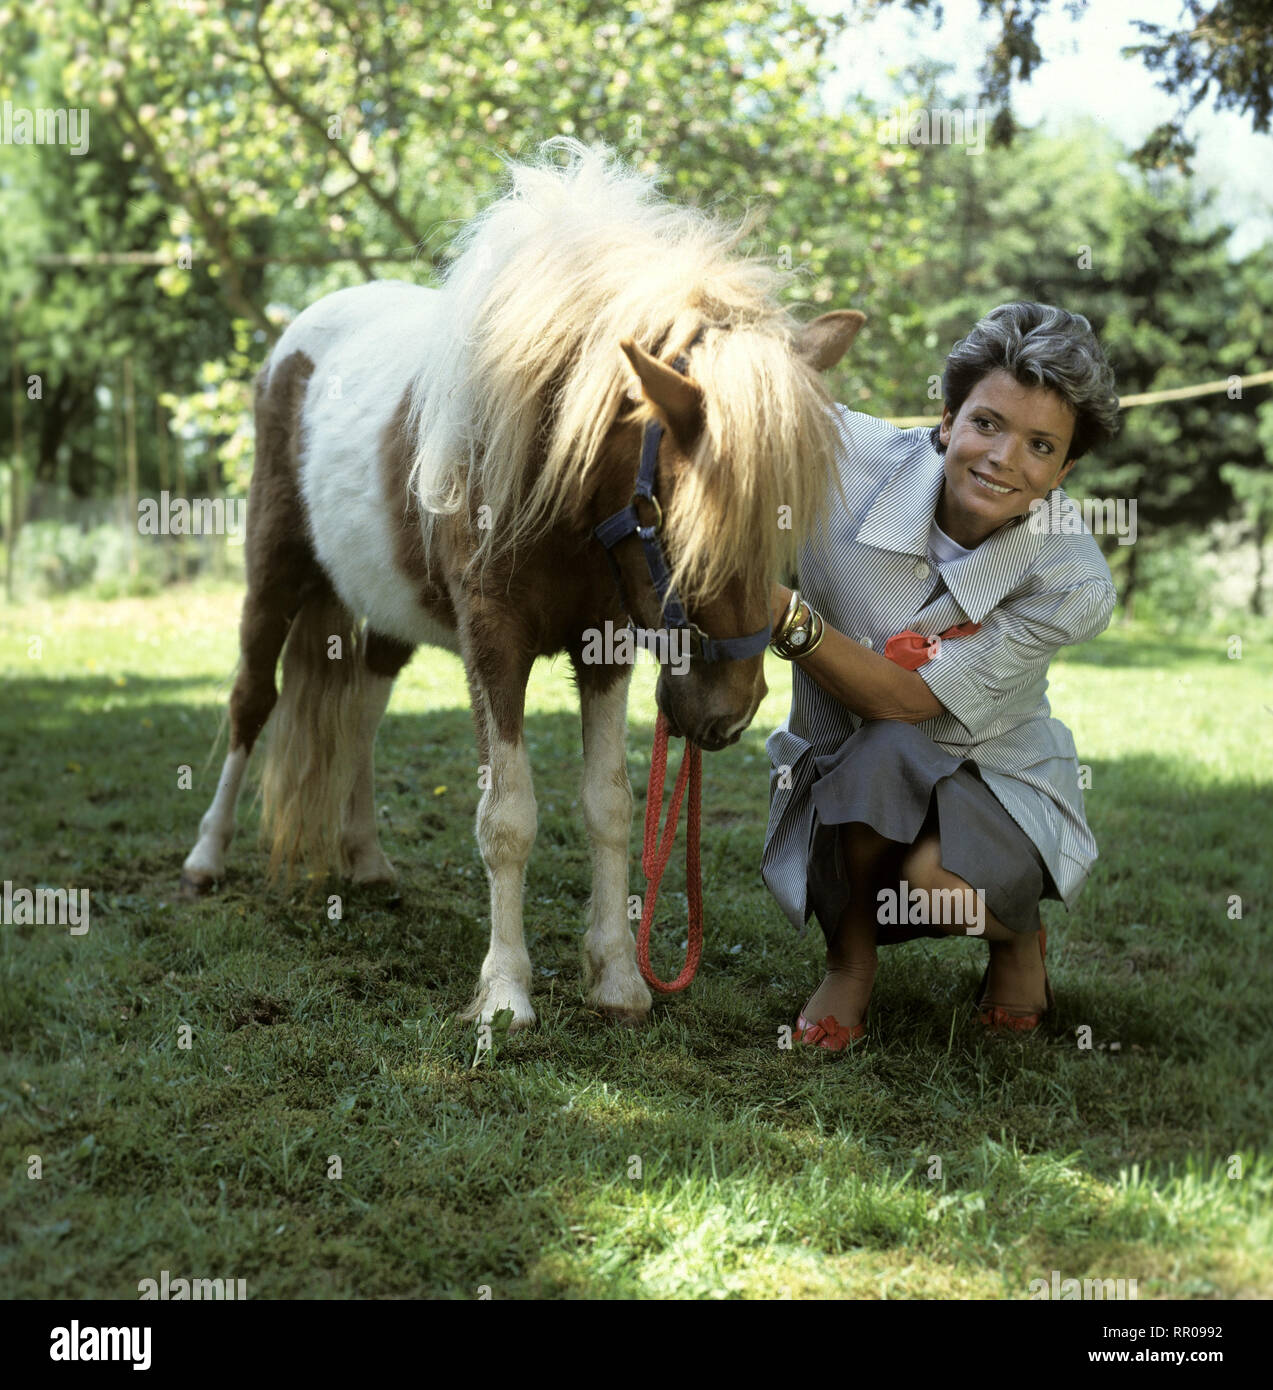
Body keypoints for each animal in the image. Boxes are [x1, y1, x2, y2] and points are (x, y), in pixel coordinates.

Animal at [179, 138, 867, 1034]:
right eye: (679, 528)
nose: (725, 716)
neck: (552, 472)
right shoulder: (493, 644)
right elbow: (506, 816)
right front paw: (505, 993)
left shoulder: (605, 646)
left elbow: (608, 805)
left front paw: (617, 977)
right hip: (273, 573)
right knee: (251, 699)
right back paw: (205, 855)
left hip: (385, 610)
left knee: (360, 707)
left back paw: (363, 857)